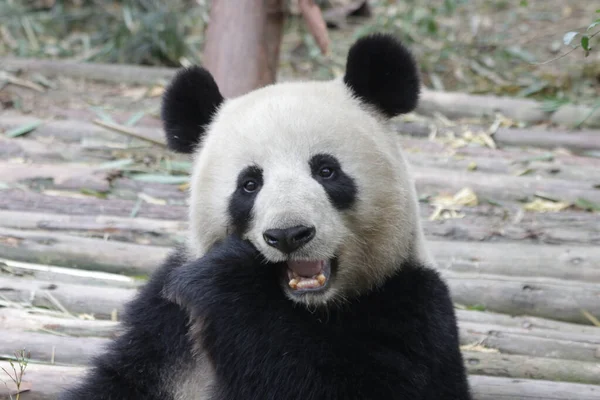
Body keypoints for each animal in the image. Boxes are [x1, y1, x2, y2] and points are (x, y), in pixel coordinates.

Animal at [61, 34, 474, 400]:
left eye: (326, 171)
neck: (309, 308)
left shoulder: (410, 305)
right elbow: (122, 381)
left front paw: (229, 277)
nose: (289, 234)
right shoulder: (165, 325)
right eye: (249, 184)